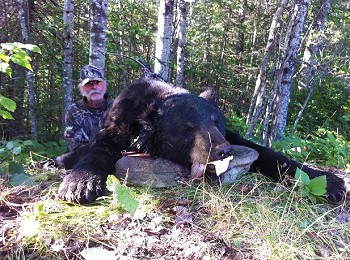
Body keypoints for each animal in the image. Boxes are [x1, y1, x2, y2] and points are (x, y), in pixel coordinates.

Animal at [56, 75, 346, 205]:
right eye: (188, 128)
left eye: (215, 121)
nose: (222, 151)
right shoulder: (119, 124)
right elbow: (99, 149)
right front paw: (80, 184)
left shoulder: (231, 135)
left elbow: (265, 153)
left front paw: (329, 181)